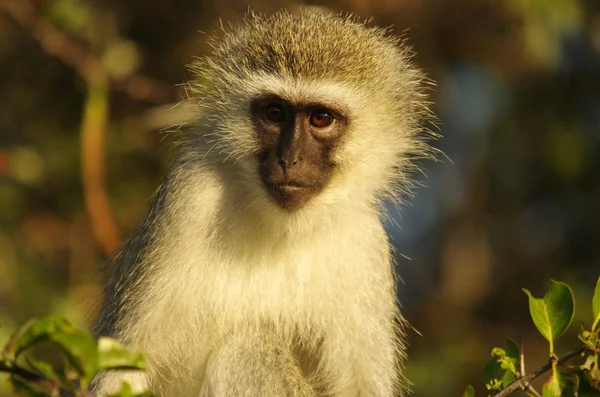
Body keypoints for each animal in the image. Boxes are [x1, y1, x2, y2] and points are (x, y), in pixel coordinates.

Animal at [90, 6, 436, 396]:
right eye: (274, 113)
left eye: (321, 118)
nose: (290, 159)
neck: (281, 228)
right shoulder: (187, 198)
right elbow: (122, 365)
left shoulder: (367, 247)